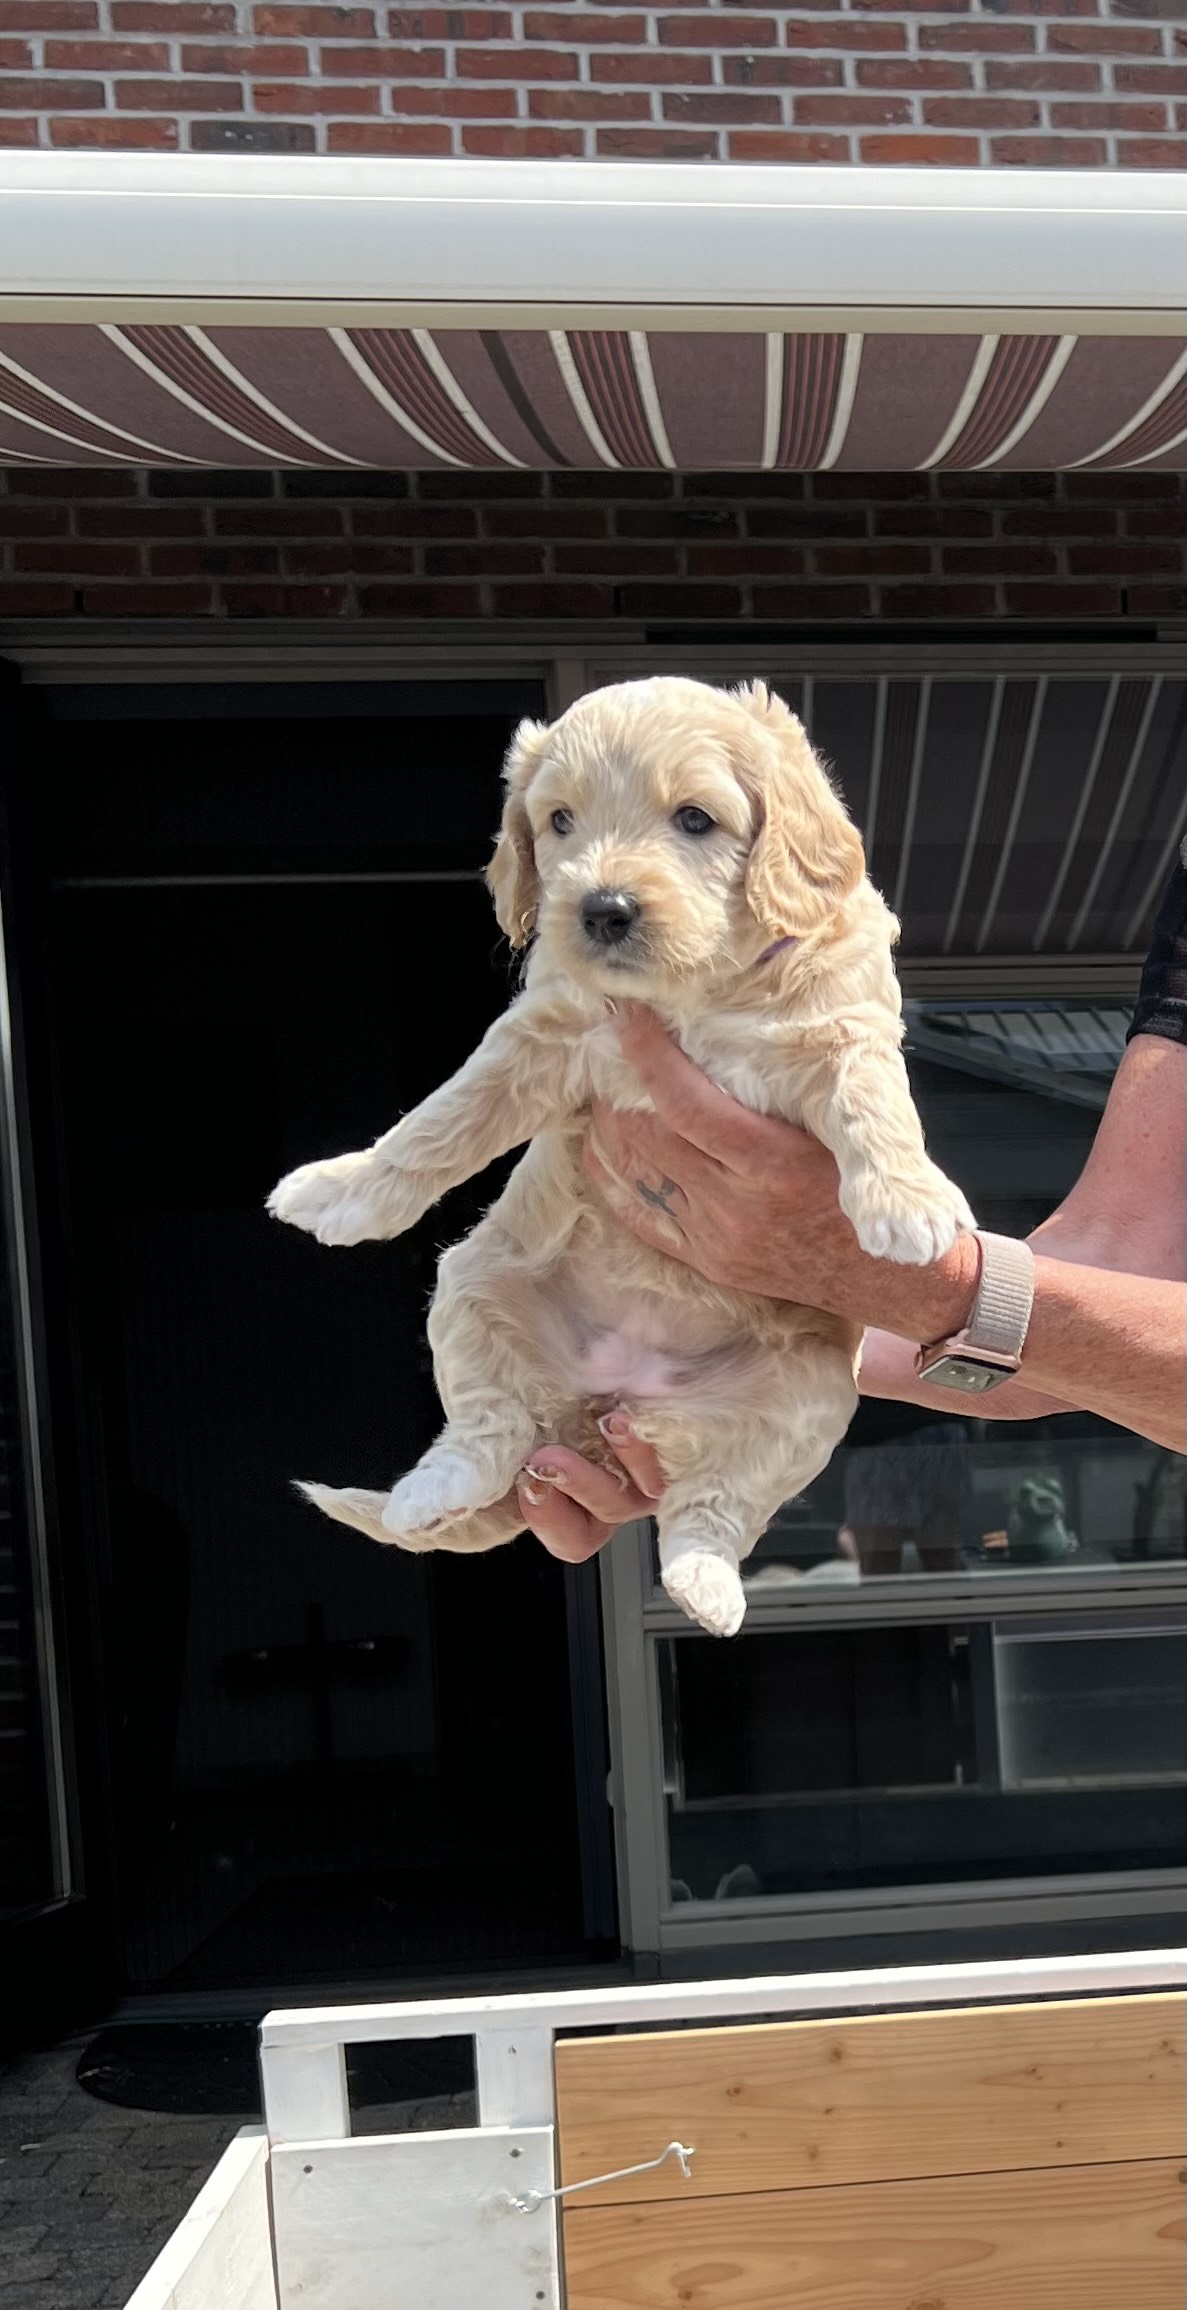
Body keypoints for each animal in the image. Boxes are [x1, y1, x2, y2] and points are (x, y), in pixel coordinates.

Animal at [267, 674, 969, 1635]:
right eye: (559, 821)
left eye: (695, 819)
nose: (601, 910)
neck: (695, 991)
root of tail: (605, 1402)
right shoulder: (542, 1036)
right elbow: (440, 1120)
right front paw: (346, 1190)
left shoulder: (841, 1025)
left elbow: (874, 1102)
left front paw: (908, 1201)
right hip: (471, 1288)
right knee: (487, 1430)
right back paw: (429, 1493)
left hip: (814, 1394)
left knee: (712, 1504)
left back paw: (705, 1581)